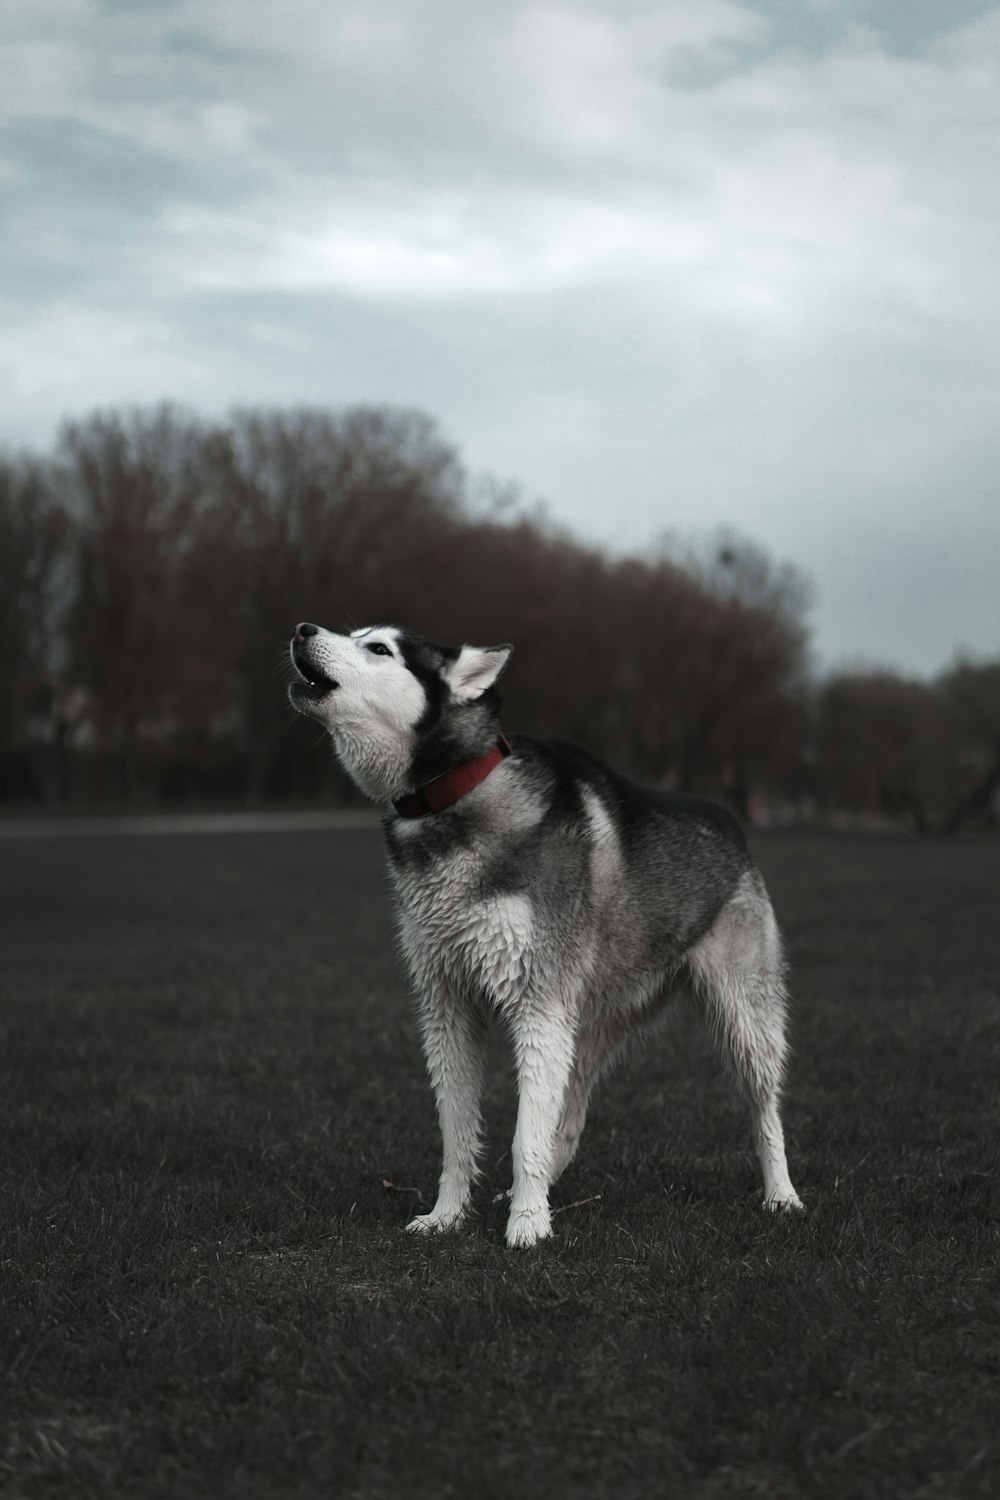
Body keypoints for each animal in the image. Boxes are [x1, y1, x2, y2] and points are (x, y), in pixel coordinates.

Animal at [289, 615, 803, 1248]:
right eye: (355, 632)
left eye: (379, 648)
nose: (302, 628)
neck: (453, 796)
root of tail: (730, 819)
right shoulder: (447, 1008)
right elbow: (457, 1135)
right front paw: (448, 1215)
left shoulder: (538, 1005)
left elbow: (523, 1136)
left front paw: (528, 1226)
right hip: (585, 1027)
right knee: (571, 1121)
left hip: (742, 1017)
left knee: (765, 1111)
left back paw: (781, 1193)